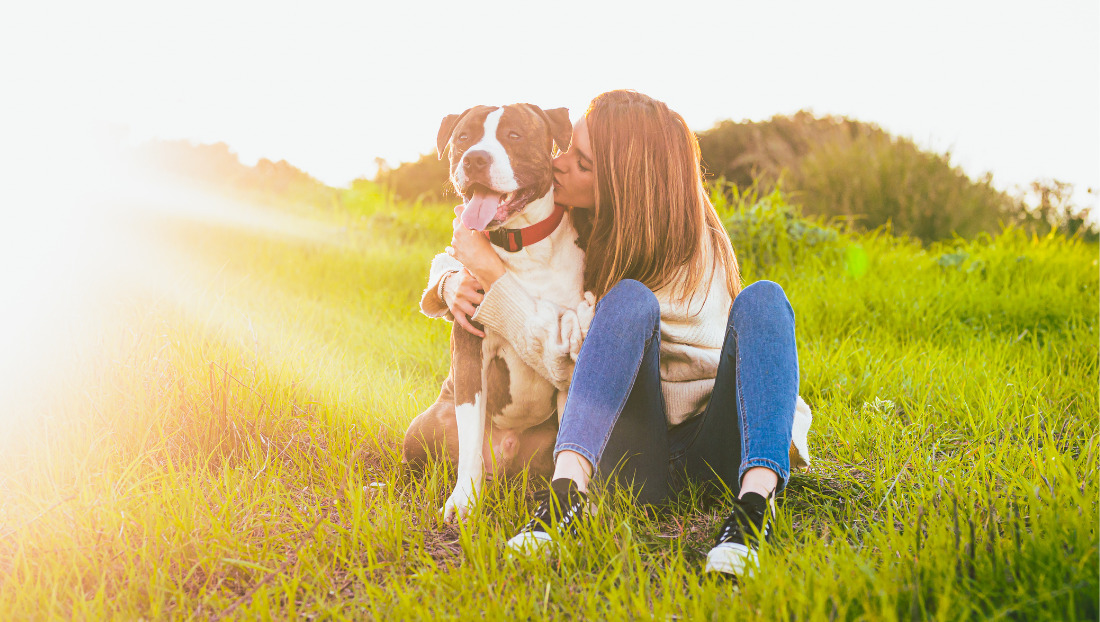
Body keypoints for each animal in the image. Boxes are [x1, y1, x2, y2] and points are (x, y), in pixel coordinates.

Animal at [407, 104, 594, 521]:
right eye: (464, 137)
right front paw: (463, 500)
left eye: (514, 135)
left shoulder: (568, 354)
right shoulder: (471, 349)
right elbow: (471, 436)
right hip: (425, 425)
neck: (522, 245)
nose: (475, 158)